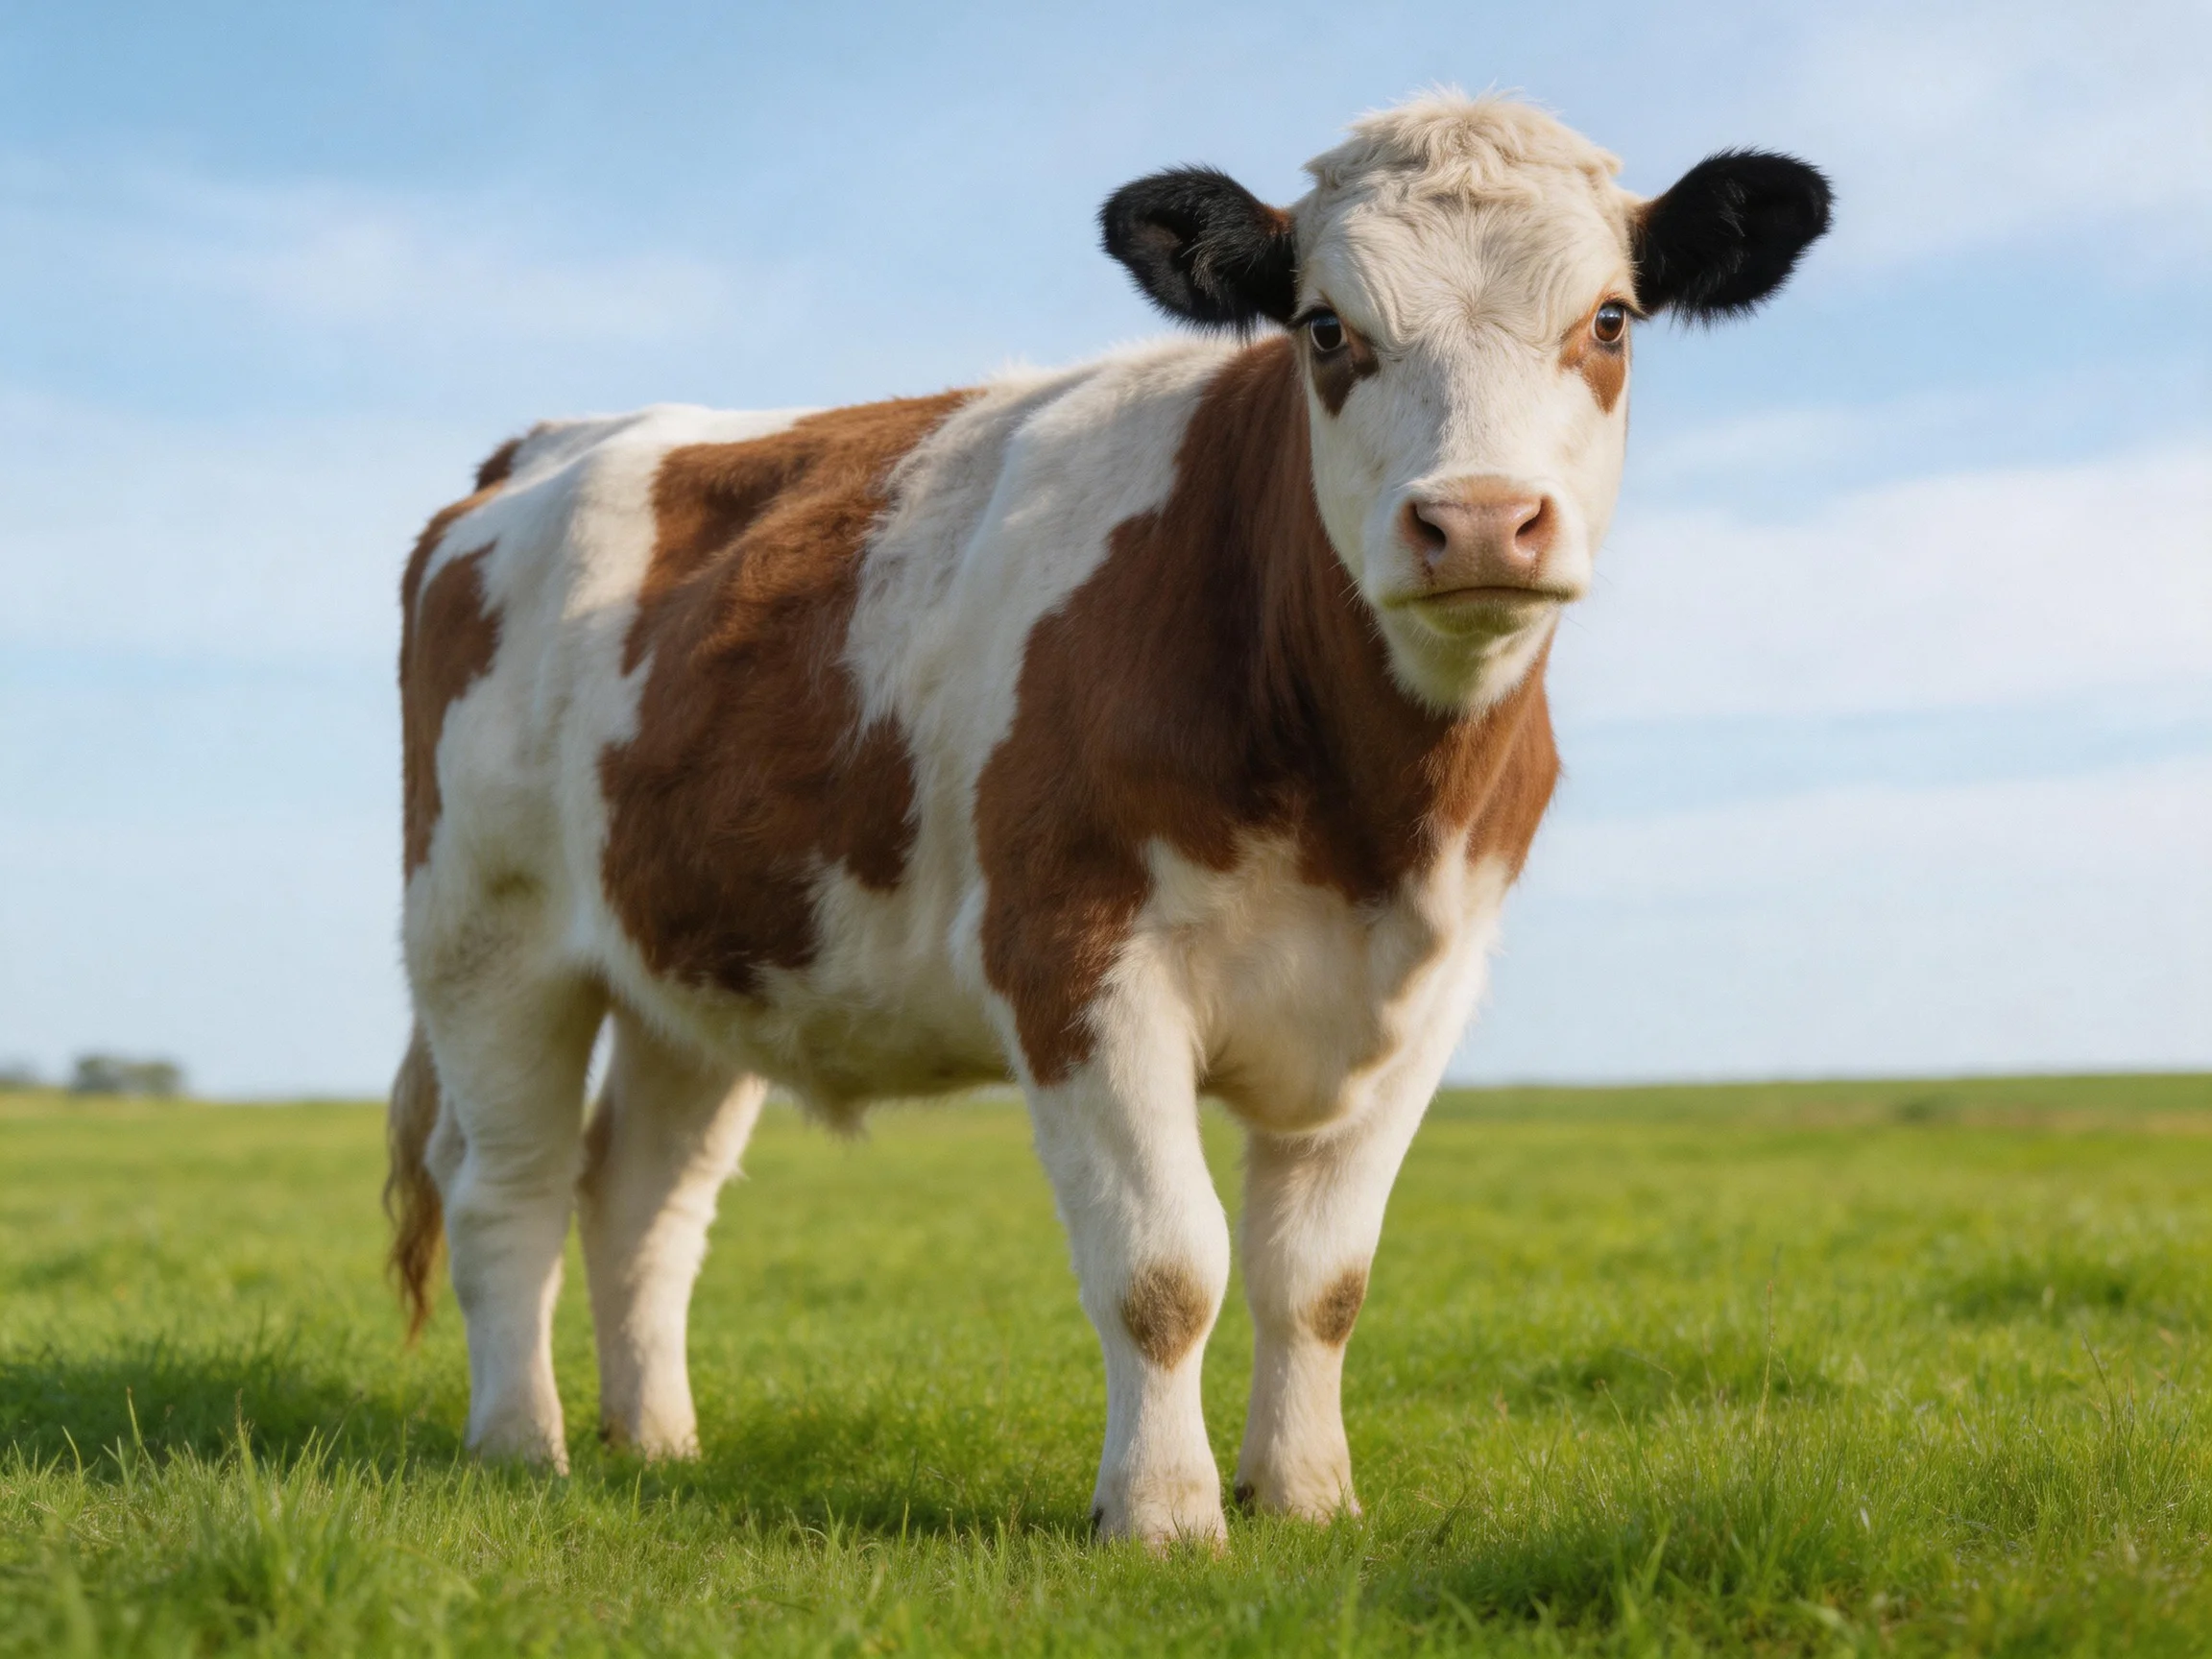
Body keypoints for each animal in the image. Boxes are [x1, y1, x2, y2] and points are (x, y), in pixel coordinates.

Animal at [386, 93, 1829, 1546]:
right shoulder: (1075, 955)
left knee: (642, 1200)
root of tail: (549, 444)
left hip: (699, 964)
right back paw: (521, 1445)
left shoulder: (1426, 988)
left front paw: (1307, 1495)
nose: (1477, 520)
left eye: (1611, 319)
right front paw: (1163, 1514)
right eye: (1326, 328)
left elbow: (1322, 1280)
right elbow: (1165, 1267)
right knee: (508, 1188)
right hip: (487, 938)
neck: (1370, 818)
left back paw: (660, 1442)